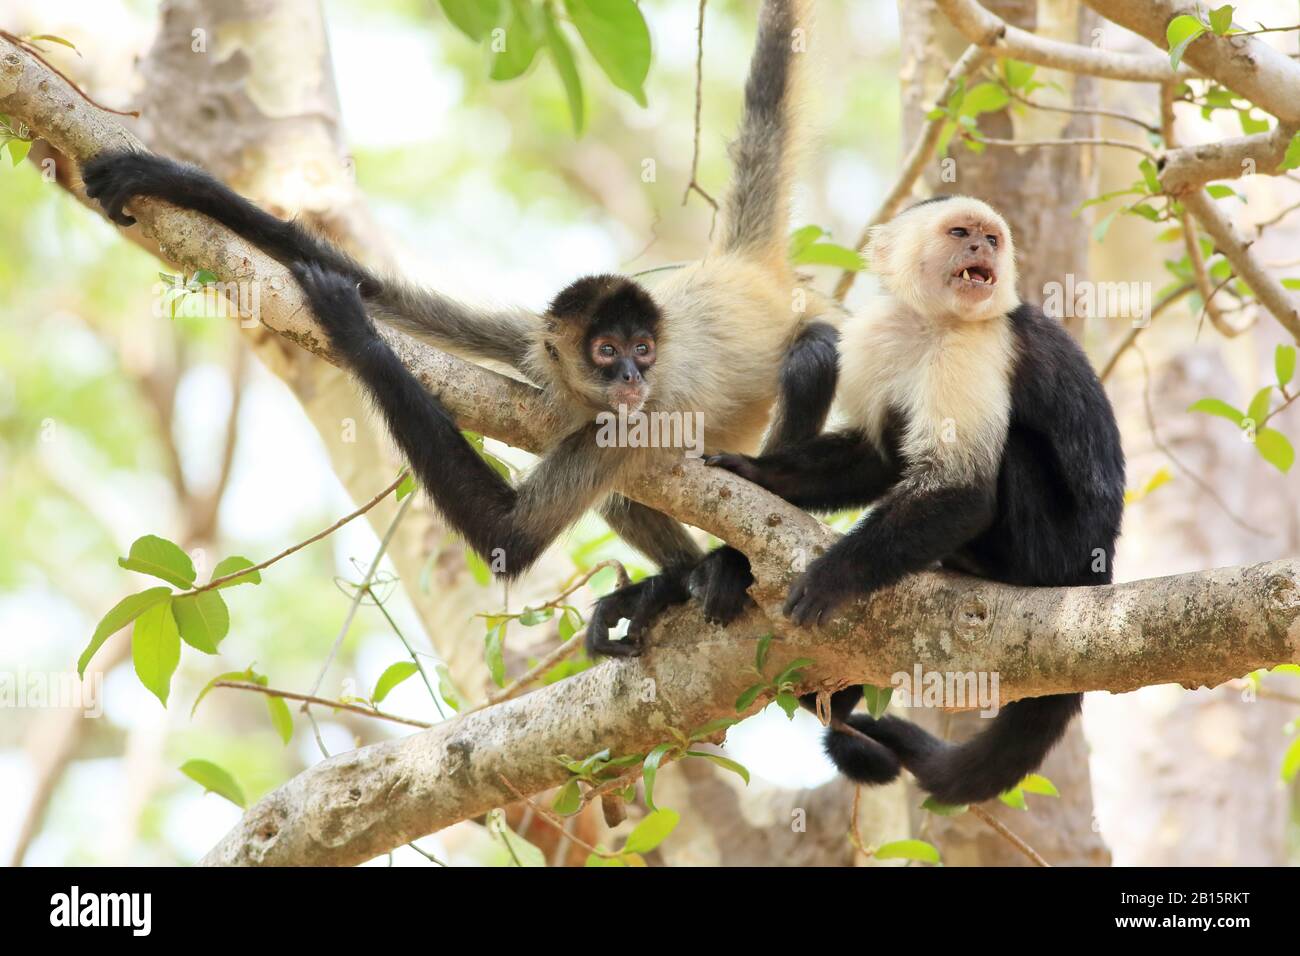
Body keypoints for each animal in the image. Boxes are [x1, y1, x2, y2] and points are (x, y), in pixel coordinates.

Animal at [81, 0, 837, 658]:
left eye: (644, 351)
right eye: (607, 350)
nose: (629, 373)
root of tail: (738, 266)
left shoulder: (633, 421)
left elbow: (510, 535)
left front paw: (354, 332)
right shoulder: (532, 342)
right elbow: (381, 289)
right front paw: (167, 178)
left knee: (811, 356)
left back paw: (726, 568)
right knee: (626, 495)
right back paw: (677, 584)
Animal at [707, 196, 1123, 806]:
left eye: (992, 239)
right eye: (961, 232)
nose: (980, 249)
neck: (931, 321)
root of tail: (1099, 572)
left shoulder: (978, 345)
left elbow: (962, 489)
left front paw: (833, 576)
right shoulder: (876, 337)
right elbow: (878, 457)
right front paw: (758, 472)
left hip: (1062, 553)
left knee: (1015, 450)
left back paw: (995, 570)